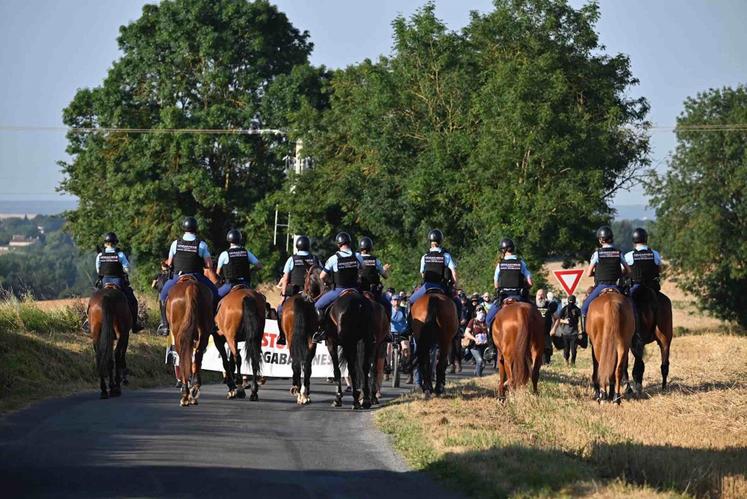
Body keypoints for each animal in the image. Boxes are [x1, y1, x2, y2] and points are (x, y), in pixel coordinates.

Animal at [168, 276, 215, 408]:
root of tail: (191, 287)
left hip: (179, 336)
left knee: (183, 357)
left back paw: (185, 394)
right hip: (203, 334)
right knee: (198, 356)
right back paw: (194, 389)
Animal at [280, 268, 324, 404]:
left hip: (291, 340)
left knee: (296, 363)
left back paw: (300, 393)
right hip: (311, 340)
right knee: (306, 363)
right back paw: (304, 394)